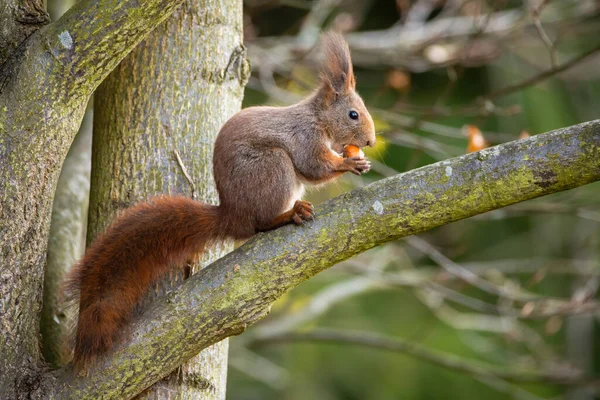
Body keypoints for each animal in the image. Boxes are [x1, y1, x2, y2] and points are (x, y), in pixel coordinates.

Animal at [65, 31, 376, 368]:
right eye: (353, 114)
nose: (371, 141)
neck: (318, 119)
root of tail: (232, 215)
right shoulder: (304, 137)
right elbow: (314, 166)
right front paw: (349, 163)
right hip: (272, 169)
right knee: (260, 223)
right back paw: (288, 215)